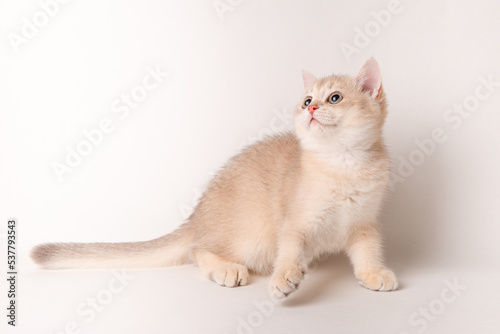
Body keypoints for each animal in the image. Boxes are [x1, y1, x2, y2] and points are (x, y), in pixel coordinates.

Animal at [31, 58, 398, 298]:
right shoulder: (294, 224)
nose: (310, 109)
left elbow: (367, 252)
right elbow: (289, 252)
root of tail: (197, 217)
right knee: (198, 250)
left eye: (334, 98)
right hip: (251, 235)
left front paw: (373, 273)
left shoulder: (364, 224)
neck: (344, 163)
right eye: (308, 99)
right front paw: (284, 278)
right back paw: (226, 269)